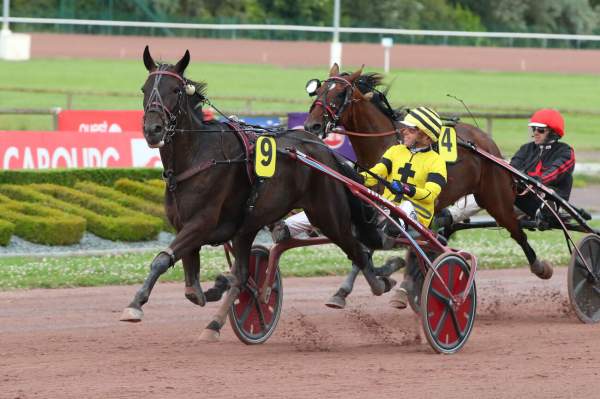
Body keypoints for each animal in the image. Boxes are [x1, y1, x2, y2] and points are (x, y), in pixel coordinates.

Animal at [121, 47, 394, 340]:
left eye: (175, 90)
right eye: (144, 88)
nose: (153, 129)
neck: (197, 156)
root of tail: (325, 150)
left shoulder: (201, 223)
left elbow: (163, 260)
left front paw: (135, 305)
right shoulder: (187, 226)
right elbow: (193, 289)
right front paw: (215, 289)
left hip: (328, 216)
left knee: (358, 249)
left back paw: (378, 282)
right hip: (249, 226)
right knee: (243, 271)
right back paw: (215, 323)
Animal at [304, 65, 552, 300]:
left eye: (339, 94)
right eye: (319, 90)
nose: (312, 126)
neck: (385, 143)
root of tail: (486, 142)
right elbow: (367, 247)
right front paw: (349, 289)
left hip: (495, 199)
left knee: (517, 232)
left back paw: (540, 266)